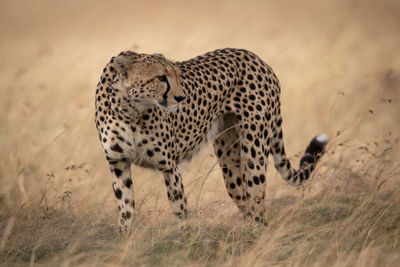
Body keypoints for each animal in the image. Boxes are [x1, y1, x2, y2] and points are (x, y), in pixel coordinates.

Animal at [94, 48, 328, 234]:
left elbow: (179, 209)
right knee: (246, 202)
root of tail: (254, 56)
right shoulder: (118, 164)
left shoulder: (169, 167)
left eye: (177, 75)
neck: (129, 110)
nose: (181, 98)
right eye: (160, 78)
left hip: (254, 152)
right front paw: (125, 242)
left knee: (257, 202)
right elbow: (125, 209)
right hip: (230, 166)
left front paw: (183, 241)